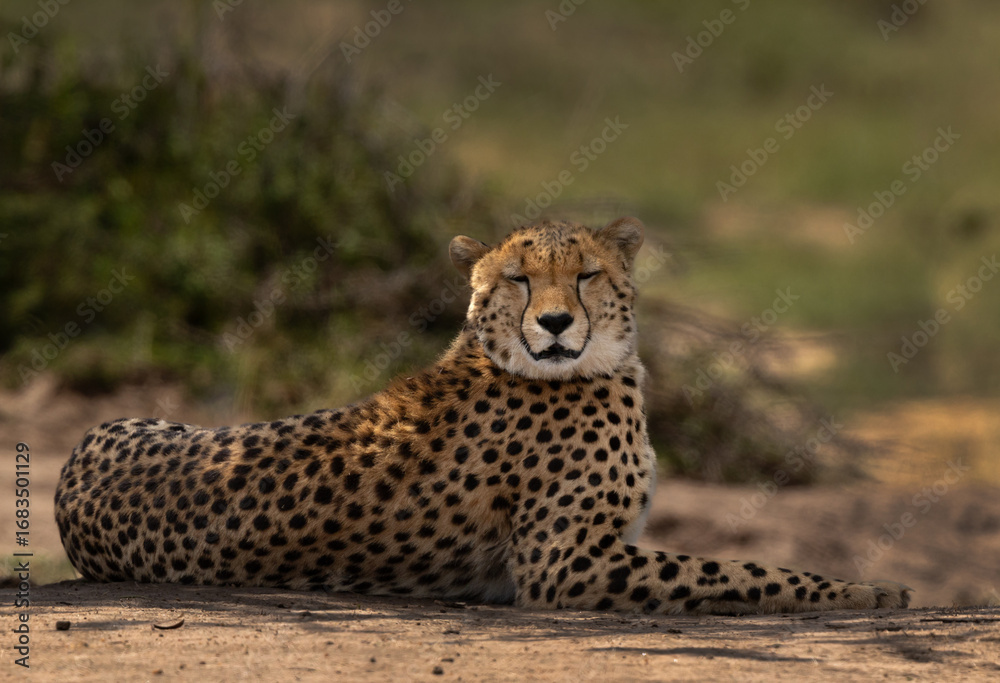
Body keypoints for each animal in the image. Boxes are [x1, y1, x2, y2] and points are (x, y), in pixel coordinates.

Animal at [55, 217, 911, 615]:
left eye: (586, 273)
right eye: (519, 278)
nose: (556, 323)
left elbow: (739, 567)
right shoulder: (568, 562)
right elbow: (743, 571)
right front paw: (866, 592)